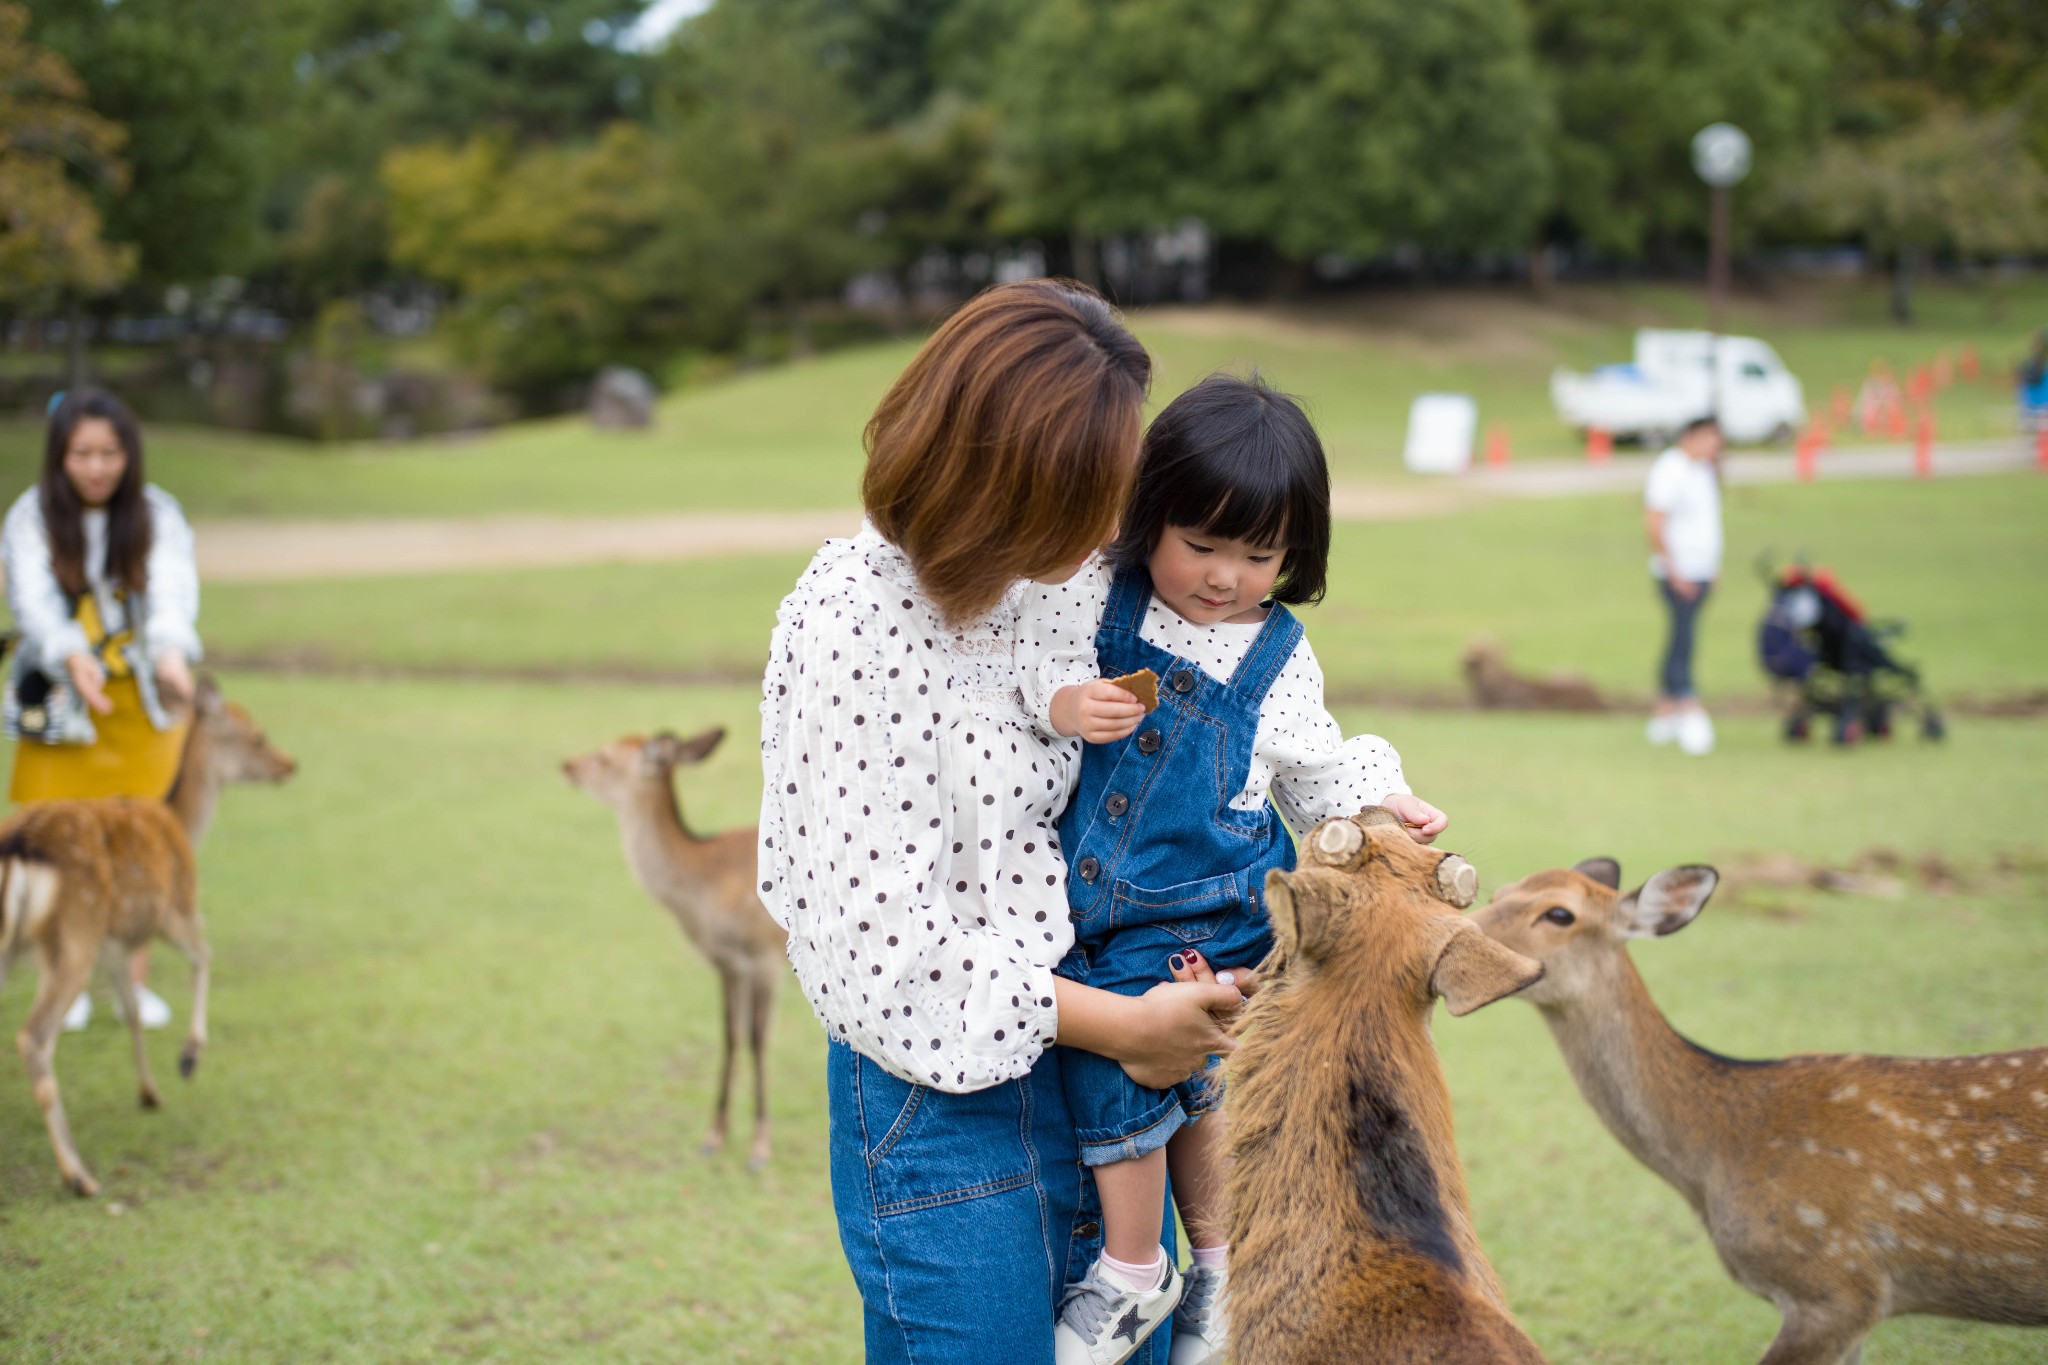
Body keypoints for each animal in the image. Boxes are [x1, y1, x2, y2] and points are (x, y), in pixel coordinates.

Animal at [565, 732, 786, 1170]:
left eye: (604, 757)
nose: (568, 765)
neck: (703, 888)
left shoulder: (765, 956)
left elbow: (757, 1039)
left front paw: (759, 1147)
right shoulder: (726, 962)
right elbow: (730, 1034)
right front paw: (714, 1136)